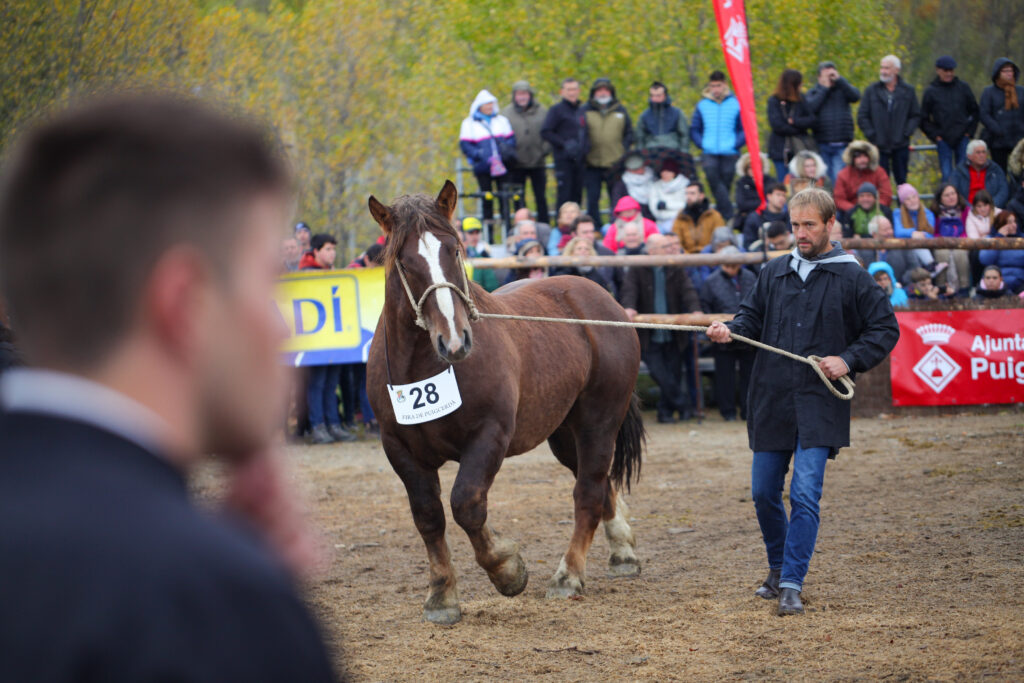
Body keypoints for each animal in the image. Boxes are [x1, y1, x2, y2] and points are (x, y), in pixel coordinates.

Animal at [364, 181, 643, 626]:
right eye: (405, 263)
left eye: (454, 250)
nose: (455, 340)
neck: (425, 365)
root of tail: (601, 300)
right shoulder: (399, 447)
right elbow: (428, 516)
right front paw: (441, 596)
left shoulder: (489, 435)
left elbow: (466, 505)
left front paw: (508, 570)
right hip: (564, 432)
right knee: (599, 484)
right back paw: (623, 552)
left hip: (599, 421)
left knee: (587, 491)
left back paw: (568, 576)